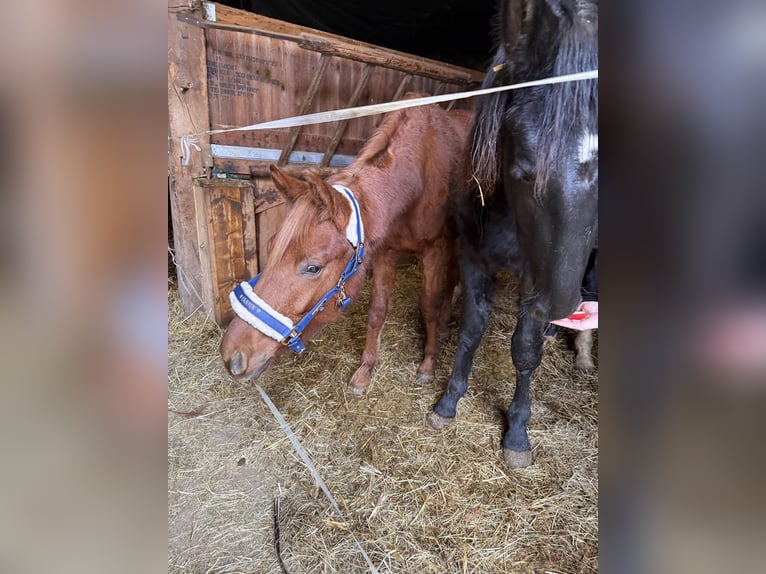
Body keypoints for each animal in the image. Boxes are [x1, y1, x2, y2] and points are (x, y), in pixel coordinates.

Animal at [220, 100, 471, 396]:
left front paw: (429, 363)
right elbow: (377, 312)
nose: (232, 356)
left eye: (313, 268)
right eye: (270, 247)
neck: (415, 175)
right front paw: (365, 371)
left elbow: (429, 305)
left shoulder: (436, 249)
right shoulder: (385, 253)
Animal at [427, 0, 598, 468]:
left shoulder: (531, 279)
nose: (557, 303)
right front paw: (447, 403)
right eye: (523, 169)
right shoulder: (474, 260)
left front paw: (517, 434)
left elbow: (524, 350)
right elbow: (471, 330)